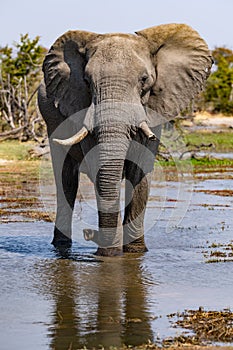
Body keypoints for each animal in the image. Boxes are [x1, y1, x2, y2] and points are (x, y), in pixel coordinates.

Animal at [37, 22, 212, 258]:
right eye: (86, 81)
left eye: (144, 80)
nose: (89, 233)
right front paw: (111, 254)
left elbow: (139, 172)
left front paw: (135, 251)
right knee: (66, 180)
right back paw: (62, 246)